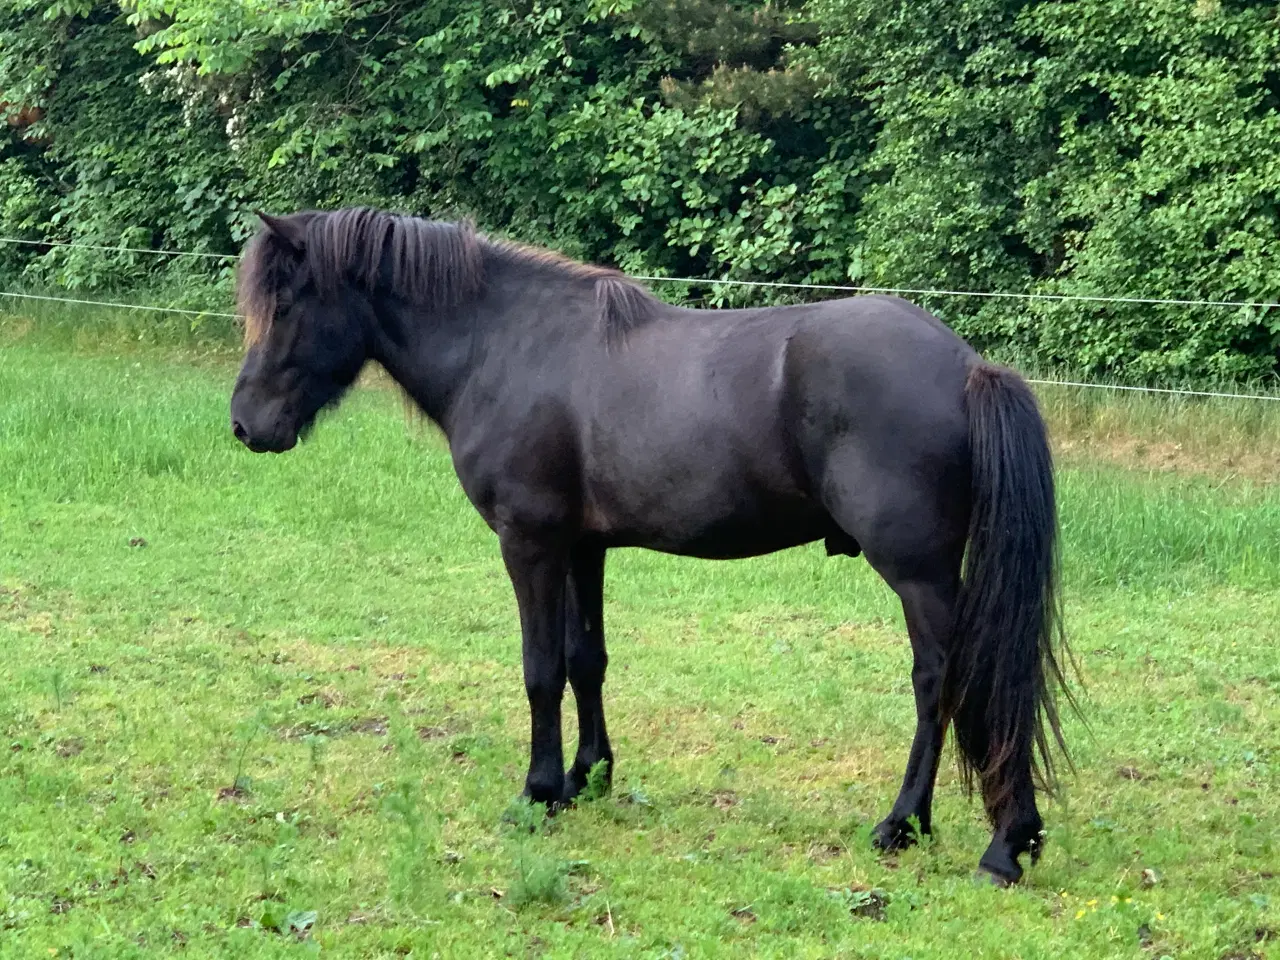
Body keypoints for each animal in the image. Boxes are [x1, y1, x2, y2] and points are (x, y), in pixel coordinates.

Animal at [227, 207, 1070, 890]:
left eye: (286, 303)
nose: (245, 424)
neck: (505, 345)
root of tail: (968, 366)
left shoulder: (530, 543)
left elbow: (540, 670)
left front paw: (537, 793)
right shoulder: (582, 547)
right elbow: (584, 660)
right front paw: (586, 777)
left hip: (919, 574)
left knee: (945, 681)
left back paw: (955, 835)